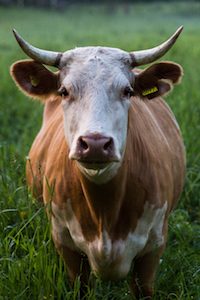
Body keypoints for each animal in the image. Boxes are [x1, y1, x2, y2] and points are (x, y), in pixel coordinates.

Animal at [10, 27, 186, 298]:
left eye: (127, 91)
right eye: (64, 91)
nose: (94, 143)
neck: (105, 211)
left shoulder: (153, 248)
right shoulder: (67, 246)